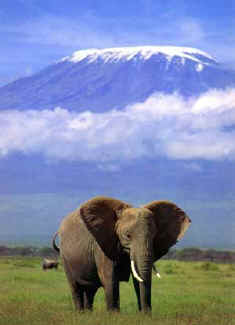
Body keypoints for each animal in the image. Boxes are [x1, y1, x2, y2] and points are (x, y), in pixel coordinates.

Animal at [52, 195, 190, 312]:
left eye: (153, 237)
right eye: (128, 236)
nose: (147, 312)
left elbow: (137, 278)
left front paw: (144, 315)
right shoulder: (102, 245)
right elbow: (110, 278)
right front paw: (114, 316)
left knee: (90, 290)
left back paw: (88, 314)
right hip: (65, 258)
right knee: (75, 287)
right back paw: (80, 313)